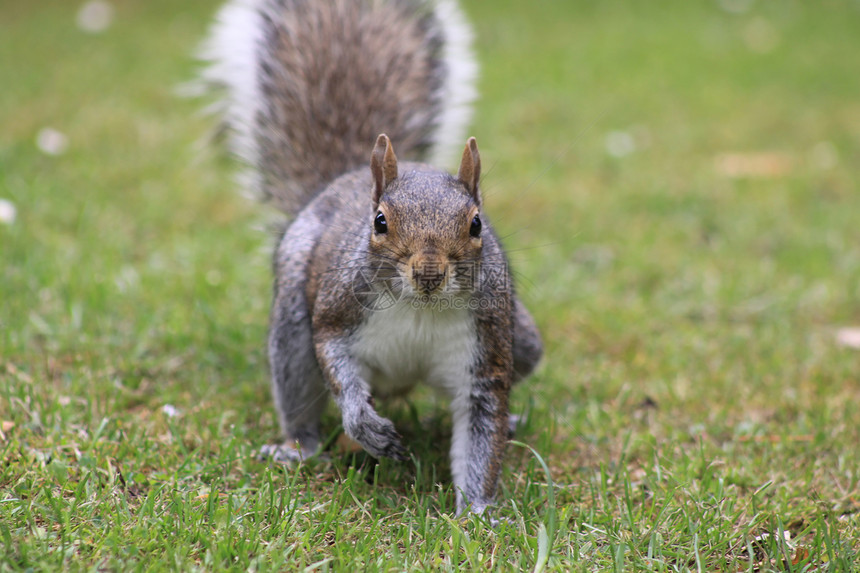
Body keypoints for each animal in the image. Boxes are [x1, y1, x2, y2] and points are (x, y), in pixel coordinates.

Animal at [198, 0, 540, 512]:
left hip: (524, 338)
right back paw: (299, 447)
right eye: (379, 221)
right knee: (298, 385)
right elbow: (335, 360)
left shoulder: (487, 355)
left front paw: (479, 511)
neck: (421, 308)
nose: (429, 273)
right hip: (293, 322)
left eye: (477, 224)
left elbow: (483, 434)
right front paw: (366, 428)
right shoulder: (339, 312)